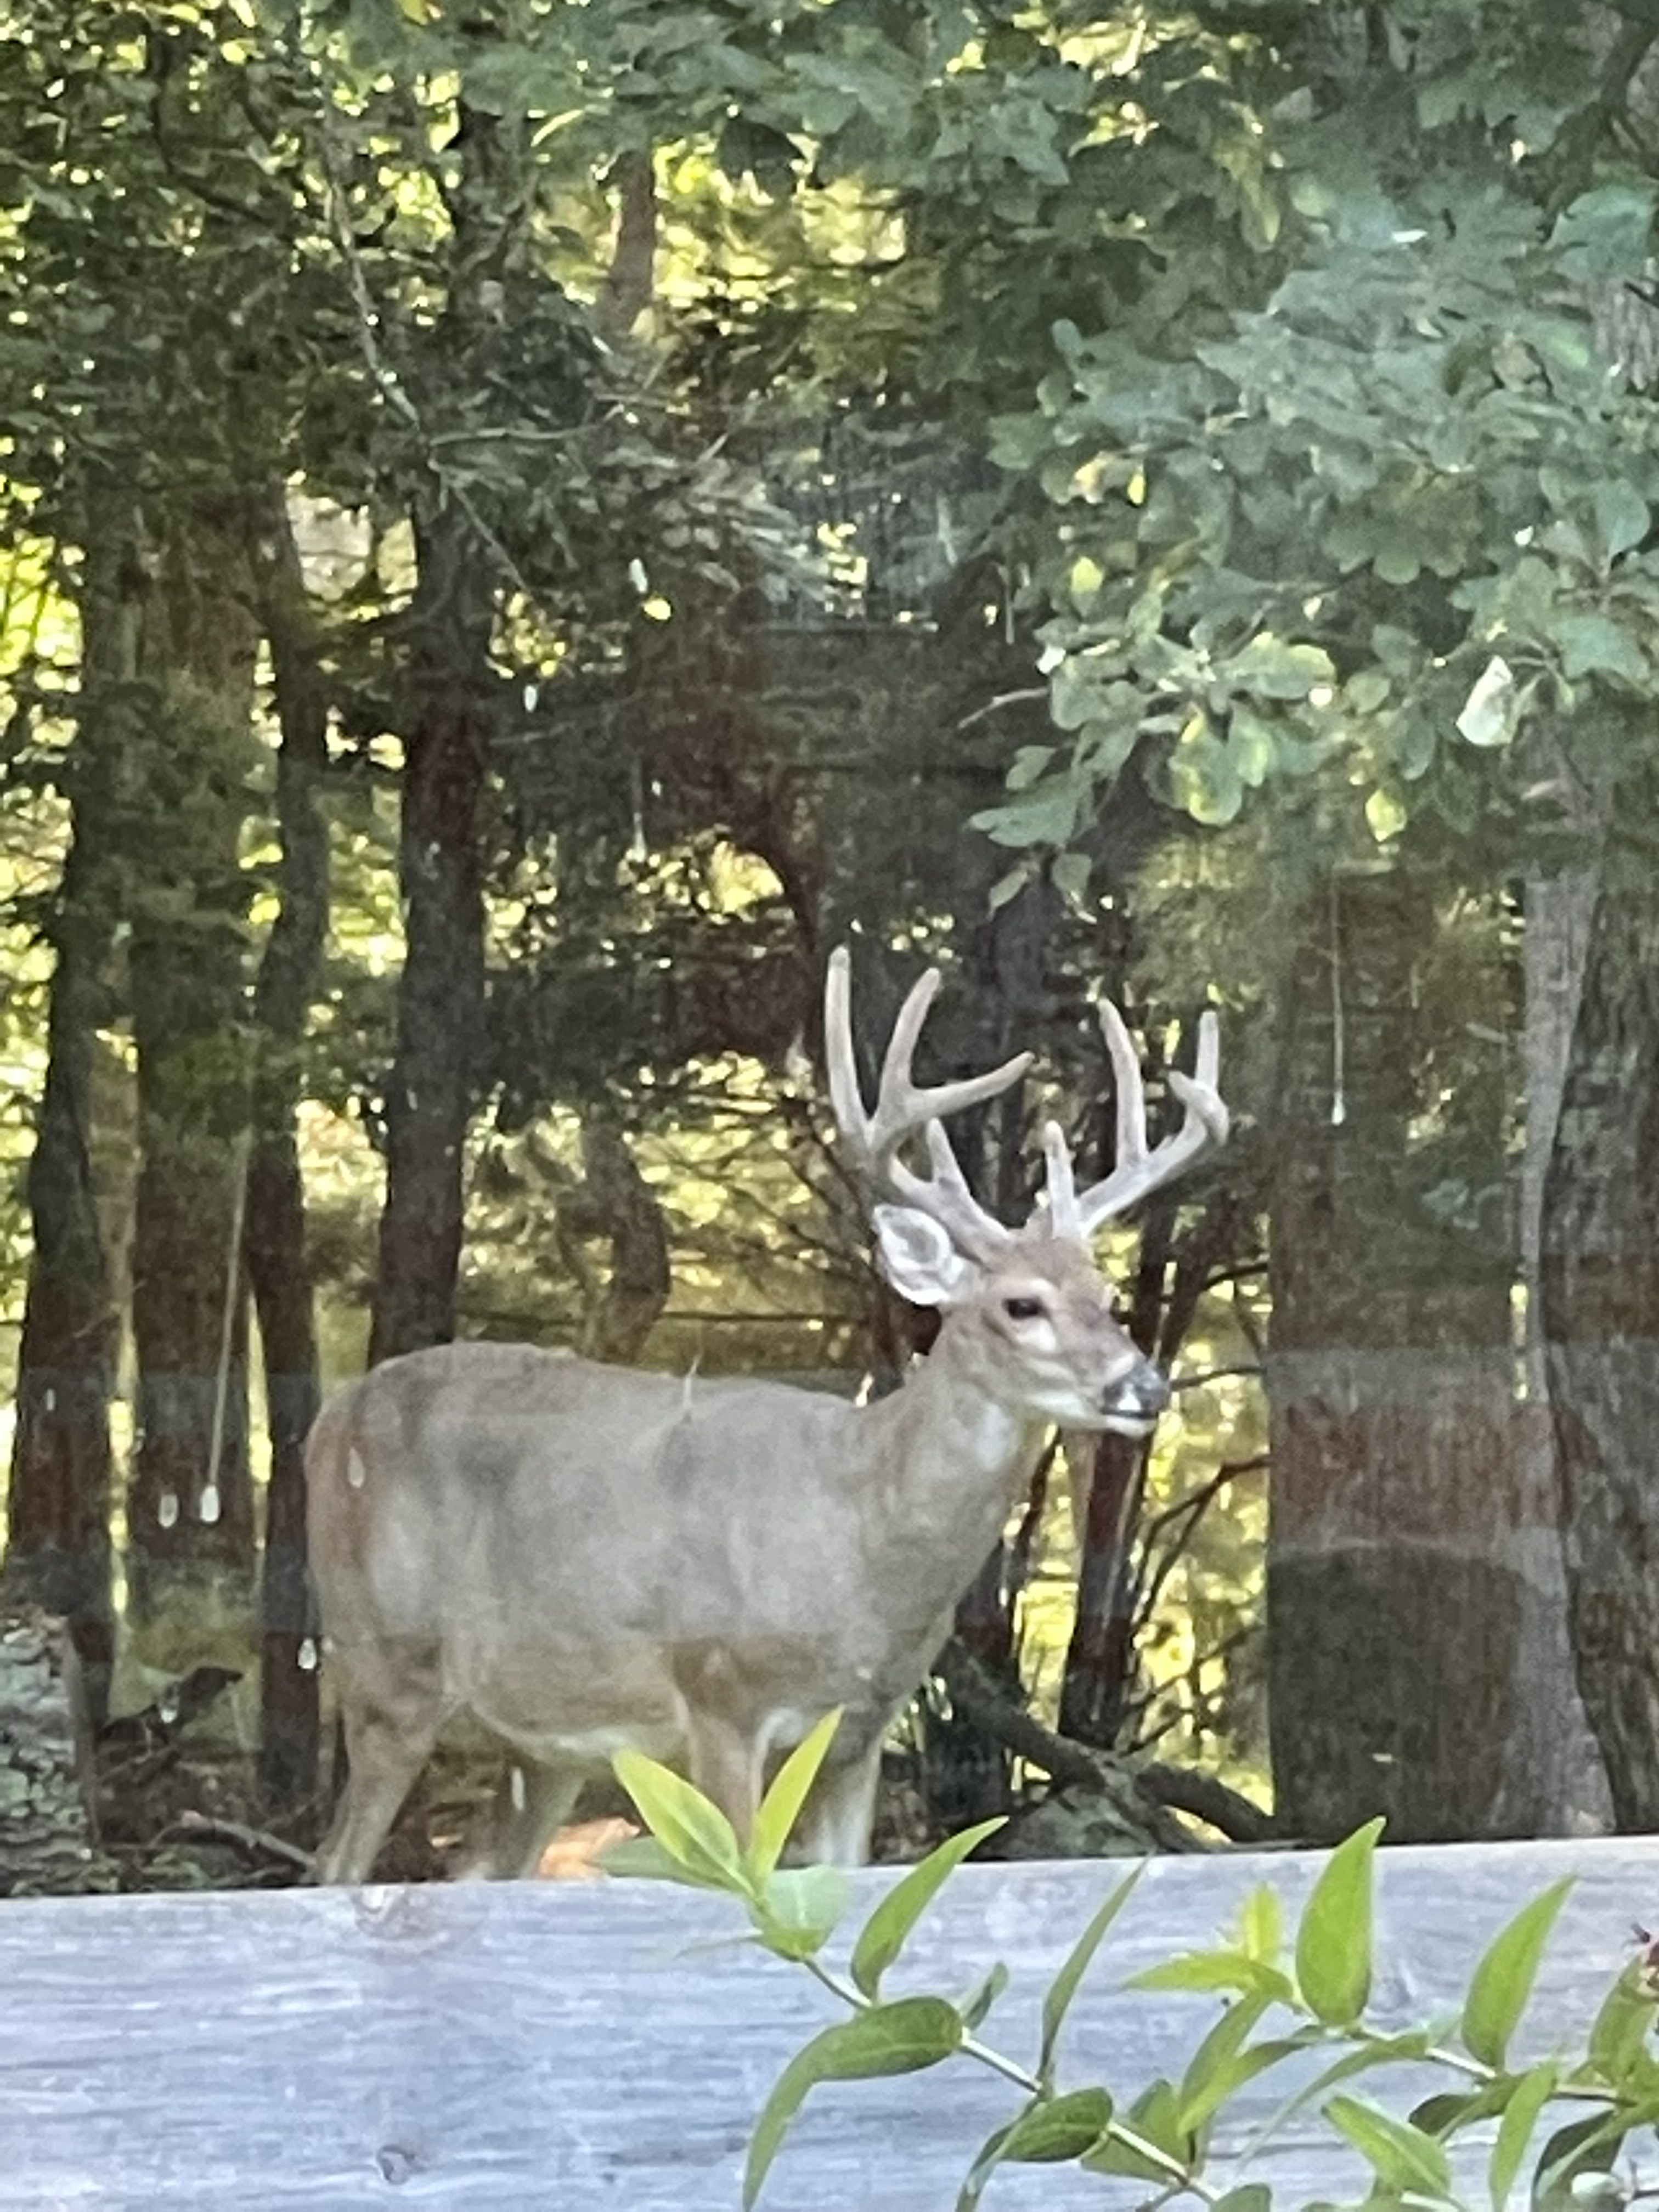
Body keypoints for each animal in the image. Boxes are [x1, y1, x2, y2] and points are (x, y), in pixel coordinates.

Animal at [306, 948, 1228, 1882]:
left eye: (1107, 1299)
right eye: (1020, 1304)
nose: (1144, 1388)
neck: (859, 1540)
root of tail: (326, 1421)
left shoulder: (859, 1735)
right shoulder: (722, 1694)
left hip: (544, 1746)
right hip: (384, 1668)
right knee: (332, 1866)